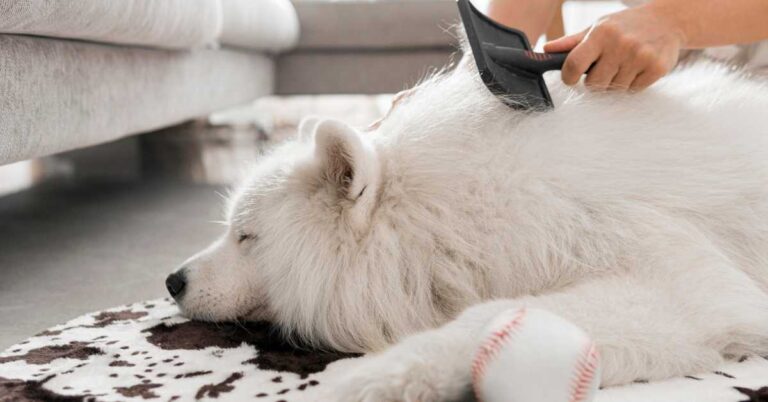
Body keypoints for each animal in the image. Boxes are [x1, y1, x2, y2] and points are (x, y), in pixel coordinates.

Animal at [168, 44, 768, 398]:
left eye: (246, 237)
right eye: (230, 230)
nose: (172, 280)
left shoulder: (679, 285)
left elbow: (488, 319)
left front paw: (368, 378)